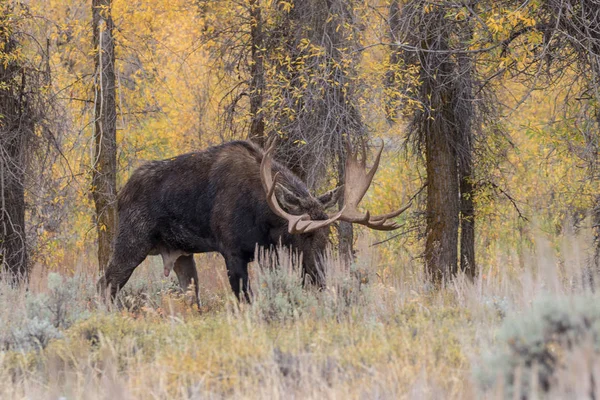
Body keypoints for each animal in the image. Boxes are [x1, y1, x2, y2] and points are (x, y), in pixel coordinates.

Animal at [98, 139, 410, 302]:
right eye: (302, 235)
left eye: (326, 237)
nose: (320, 276)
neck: (263, 216)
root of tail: (120, 195)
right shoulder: (232, 250)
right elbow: (244, 298)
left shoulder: (267, 251)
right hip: (132, 240)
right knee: (106, 282)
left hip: (181, 254)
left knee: (188, 292)